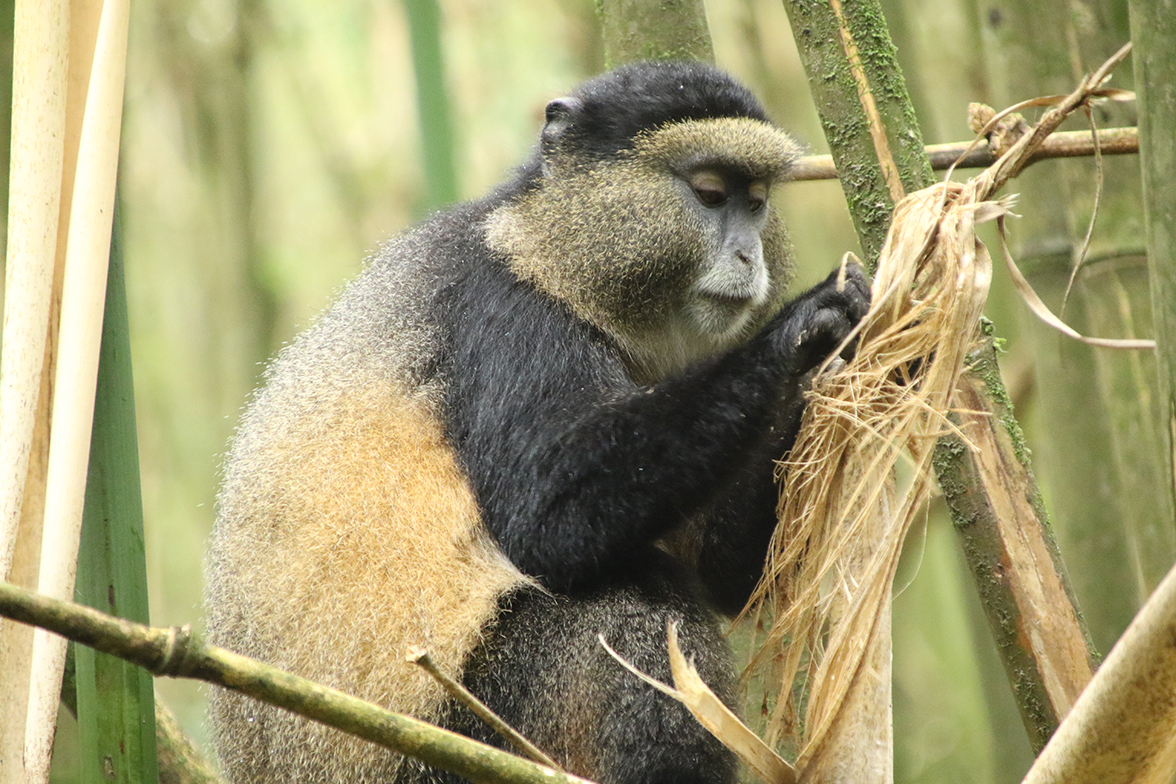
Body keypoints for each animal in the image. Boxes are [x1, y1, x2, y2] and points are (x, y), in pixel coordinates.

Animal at [205, 60, 870, 784]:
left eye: (756, 203)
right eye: (711, 194)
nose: (752, 257)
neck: (550, 254)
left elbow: (731, 571)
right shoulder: (506, 320)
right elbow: (547, 517)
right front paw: (804, 325)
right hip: (454, 737)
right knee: (624, 598)